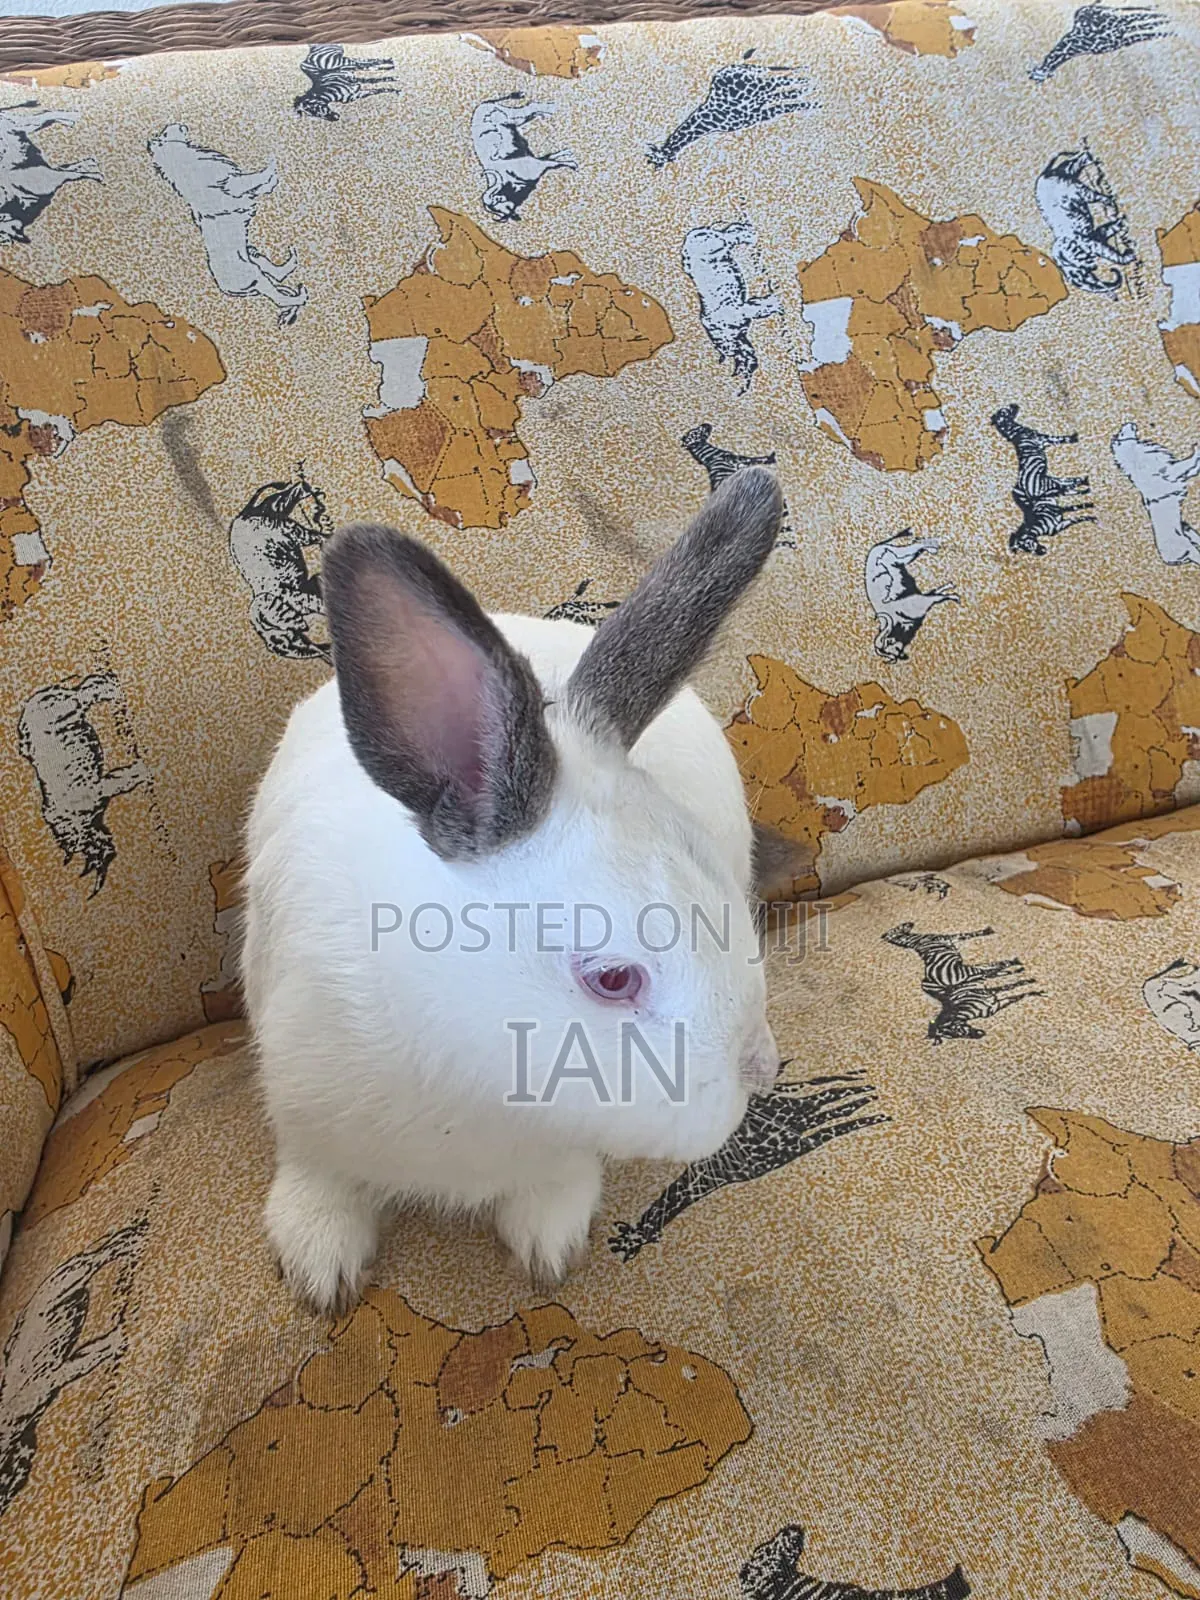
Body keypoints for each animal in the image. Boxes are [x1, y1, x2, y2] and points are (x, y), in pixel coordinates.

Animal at [242, 468, 786, 1313]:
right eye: (613, 979)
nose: (760, 1069)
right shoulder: (303, 1108)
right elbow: (321, 1180)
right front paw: (319, 1266)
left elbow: (554, 1188)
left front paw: (548, 1249)